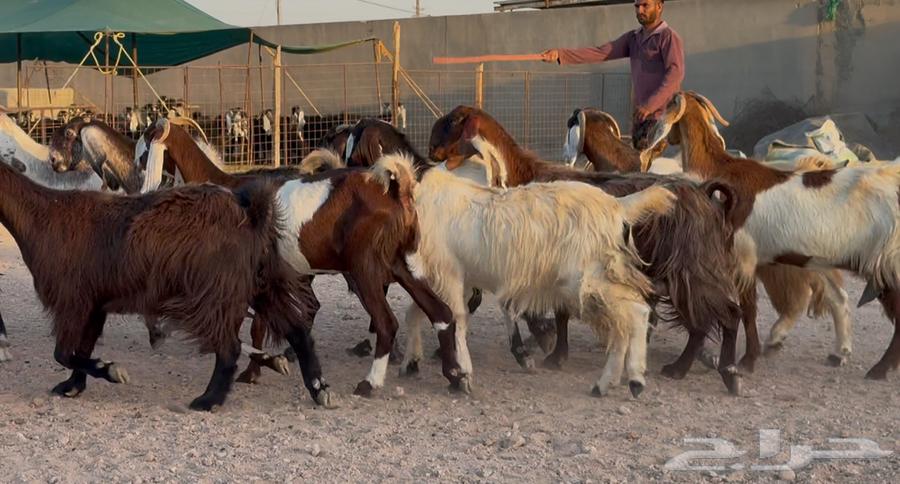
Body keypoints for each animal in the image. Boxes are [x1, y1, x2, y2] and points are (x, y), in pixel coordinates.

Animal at [0, 157, 325, 410]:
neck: (42, 216)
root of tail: (249, 214)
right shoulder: (94, 304)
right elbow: (80, 349)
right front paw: (73, 386)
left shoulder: (73, 301)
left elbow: (64, 353)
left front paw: (111, 370)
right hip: (262, 284)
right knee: (297, 331)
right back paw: (319, 388)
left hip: (213, 294)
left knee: (230, 347)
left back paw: (209, 400)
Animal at [138, 119, 465, 396]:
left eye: (143, 152)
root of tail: (396, 189)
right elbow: (259, 326)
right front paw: (261, 368)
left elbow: (249, 325)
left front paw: (258, 368)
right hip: (404, 264)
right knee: (441, 313)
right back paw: (456, 377)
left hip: (366, 269)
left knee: (386, 323)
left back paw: (370, 383)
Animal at [425, 105, 747, 394]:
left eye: (451, 122)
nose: (431, 151)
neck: (521, 174)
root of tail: (705, 193)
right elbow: (547, 310)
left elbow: (545, 311)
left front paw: (546, 348)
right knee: (708, 321)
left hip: (690, 269)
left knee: (723, 315)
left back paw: (716, 371)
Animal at [636, 91, 899, 380]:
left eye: (664, 108)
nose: (642, 137)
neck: (721, 169)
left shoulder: (743, 257)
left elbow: (748, 309)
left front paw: (746, 361)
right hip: (823, 261)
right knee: (839, 299)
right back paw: (839, 354)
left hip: (886, 263)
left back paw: (879, 369)